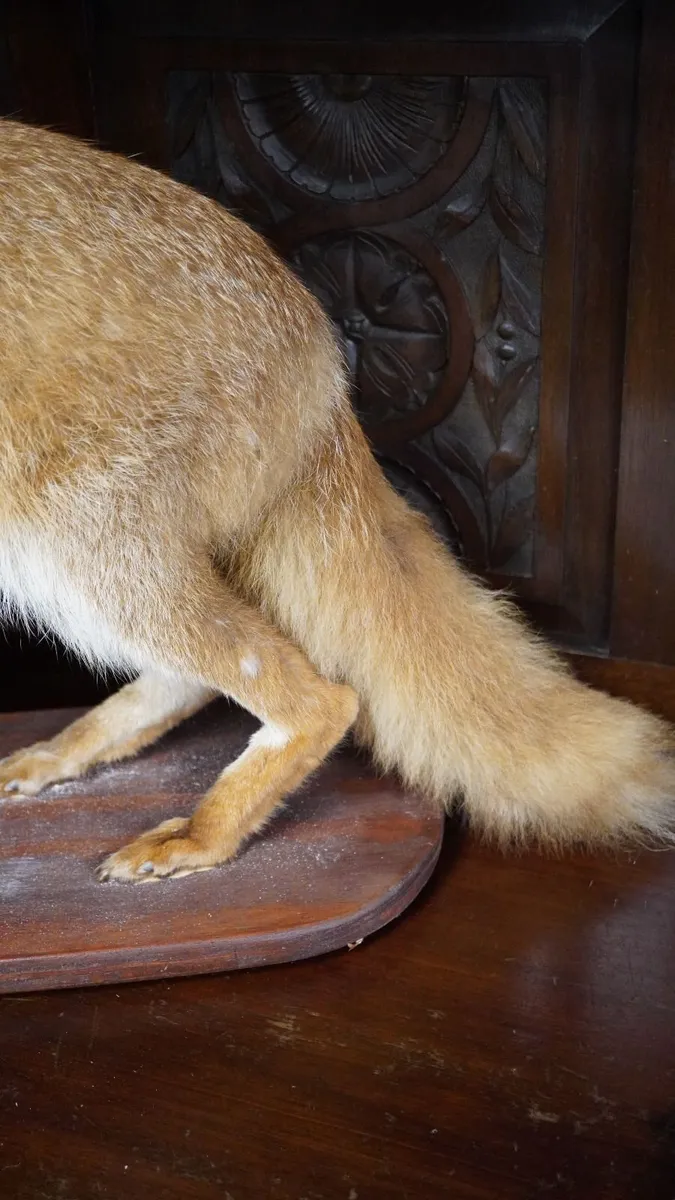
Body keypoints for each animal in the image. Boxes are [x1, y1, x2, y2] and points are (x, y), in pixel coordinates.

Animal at [0, 116, 673, 884]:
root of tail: (323, 361)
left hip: (65, 537)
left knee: (319, 695)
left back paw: (203, 835)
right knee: (207, 673)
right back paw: (66, 754)